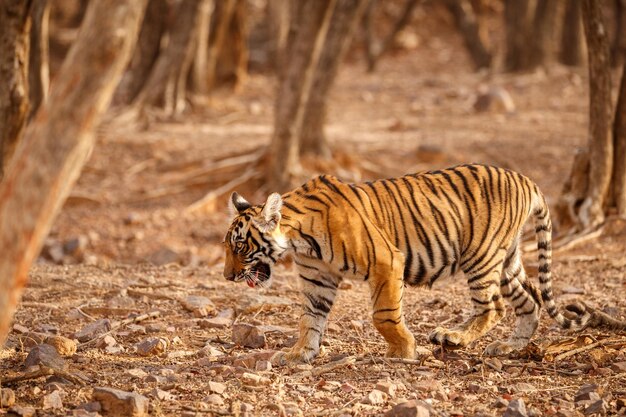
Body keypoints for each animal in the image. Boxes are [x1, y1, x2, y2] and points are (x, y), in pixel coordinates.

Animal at [222, 162, 620, 360]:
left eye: (240, 246)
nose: (227, 277)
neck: (300, 240)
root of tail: (526, 179)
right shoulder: (318, 281)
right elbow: (309, 320)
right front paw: (298, 354)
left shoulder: (385, 261)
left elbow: (383, 315)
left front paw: (403, 349)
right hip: (507, 258)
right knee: (530, 300)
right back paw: (509, 347)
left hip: (482, 255)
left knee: (494, 306)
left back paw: (454, 337)